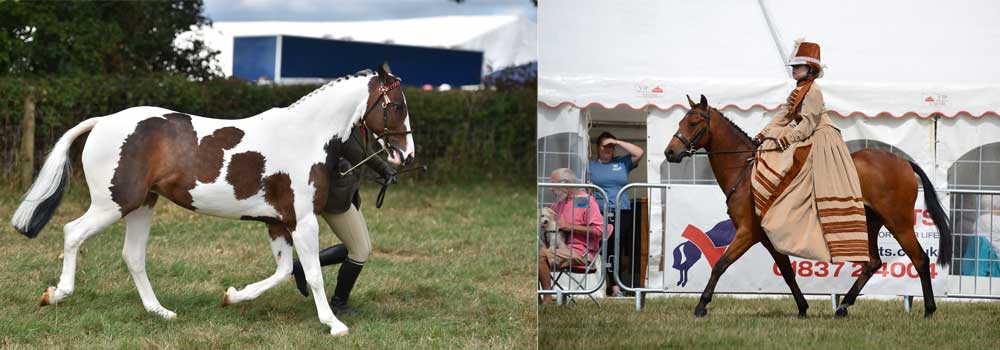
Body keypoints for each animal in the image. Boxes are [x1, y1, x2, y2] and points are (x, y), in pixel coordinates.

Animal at [9, 63, 414, 336]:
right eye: (396, 106)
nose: (405, 156)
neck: (304, 136)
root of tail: (104, 121)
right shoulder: (302, 221)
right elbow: (312, 274)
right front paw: (333, 324)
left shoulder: (278, 223)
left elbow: (285, 271)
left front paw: (232, 296)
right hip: (113, 204)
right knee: (73, 232)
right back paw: (56, 294)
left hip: (142, 205)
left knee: (133, 256)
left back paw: (160, 312)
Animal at [664, 95, 952, 320]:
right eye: (679, 122)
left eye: (693, 123)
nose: (670, 153)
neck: (746, 172)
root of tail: (903, 162)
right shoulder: (766, 237)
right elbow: (787, 272)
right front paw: (803, 308)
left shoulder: (747, 233)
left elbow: (720, 264)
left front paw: (701, 305)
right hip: (870, 223)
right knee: (872, 263)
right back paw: (843, 307)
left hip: (898, 222)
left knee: (920, 259)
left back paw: (929, 310)